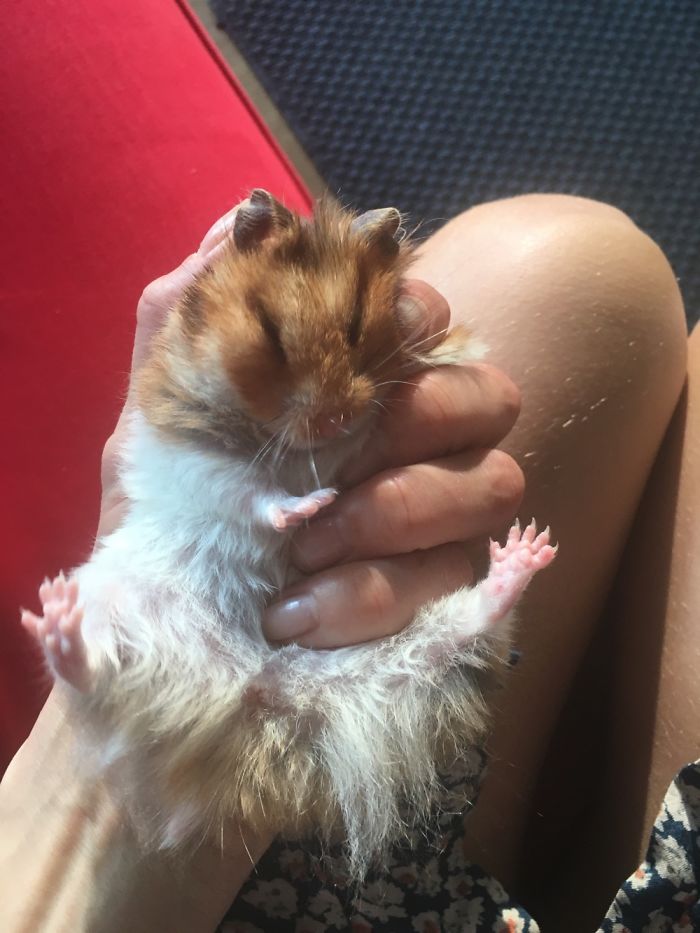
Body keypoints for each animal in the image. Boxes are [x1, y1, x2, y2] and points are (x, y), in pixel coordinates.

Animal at [21, 190, 556, 881]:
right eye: (269, 330)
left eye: (355, 325)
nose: (334, 418)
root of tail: (242, 703)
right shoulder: (187, 448)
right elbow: (250, 490)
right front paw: (310, 507)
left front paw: (333, 481)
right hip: (122, 622)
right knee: (87, 668)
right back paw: (56, 616)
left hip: (418, 669)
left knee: (471, 623)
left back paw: (526, 550)